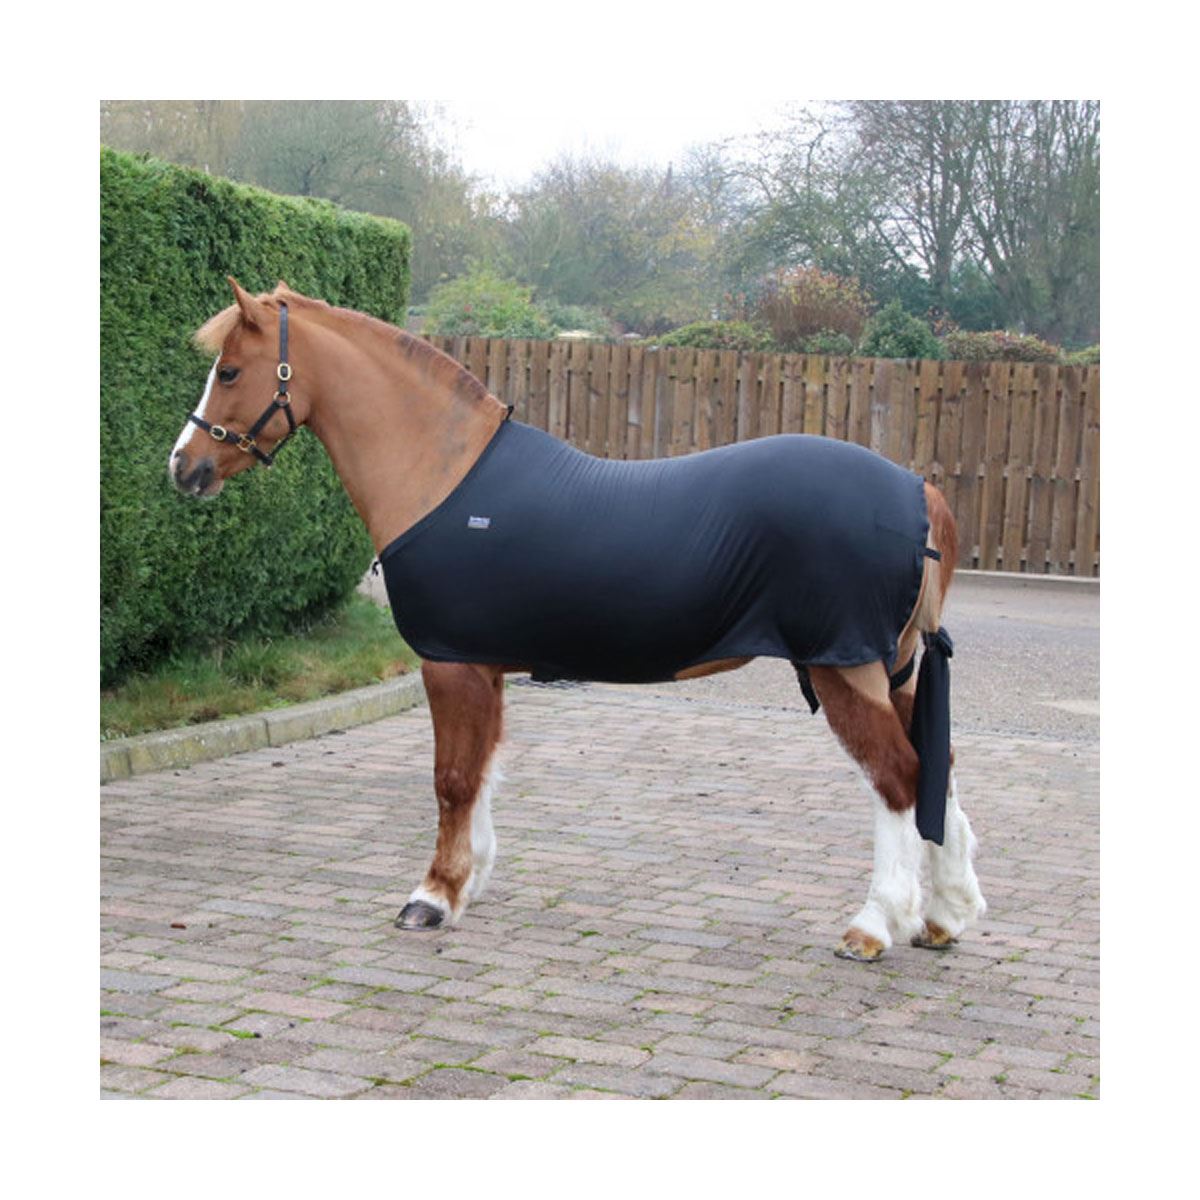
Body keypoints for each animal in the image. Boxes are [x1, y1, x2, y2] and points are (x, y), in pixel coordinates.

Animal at [169, 278, 986, 962]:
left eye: (231, 372)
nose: (183, 467)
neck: (444, 477)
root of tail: (918, 492)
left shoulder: (449, 663)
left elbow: (452, 779)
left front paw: (431, 897)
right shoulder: (483, 663)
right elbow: (483, 771)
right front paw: (469, 882)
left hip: (844, 669)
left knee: (899, 778)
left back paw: (875, 925)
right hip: (893, 668)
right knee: (937, 767)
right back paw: (944, 916)